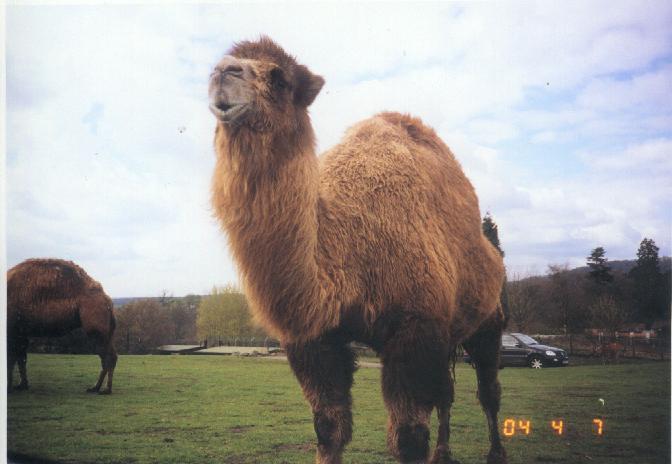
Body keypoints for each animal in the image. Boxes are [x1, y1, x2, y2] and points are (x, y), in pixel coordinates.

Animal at [7, 258, 118, 394]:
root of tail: (108, 301)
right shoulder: (21, 331)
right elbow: (21, 357)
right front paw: (22, 385)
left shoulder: (13, 329)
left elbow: (11, 358)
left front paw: (9, 387)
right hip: (107, 330)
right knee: (111, 356)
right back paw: (96, 388)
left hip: (96, 328)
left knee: (107, 357)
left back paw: (103, 389)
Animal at [209, 37, 507, 464]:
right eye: (220, 62)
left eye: (280, 79)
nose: (224, 72)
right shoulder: (314, 341)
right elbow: (329, 429)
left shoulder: (414, 330)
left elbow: (409, 438)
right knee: (447, 394)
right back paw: (444, 453)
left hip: (489, 320)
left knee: (488, 390)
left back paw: (495, 452)